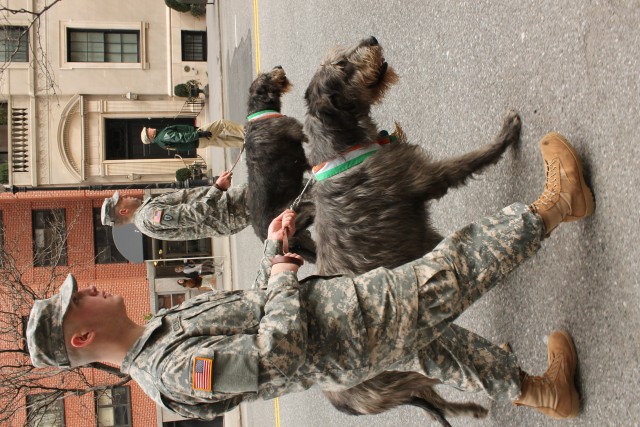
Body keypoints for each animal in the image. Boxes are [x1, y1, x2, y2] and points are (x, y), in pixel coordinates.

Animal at [244, 66, 316, 260]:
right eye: (266, 77)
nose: (279, 67)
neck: (260, 112)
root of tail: (265, 236)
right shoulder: (300, 134)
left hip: (301, 238)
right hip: (302, 214)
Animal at [304, 36, 520, 424]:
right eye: (344, 65)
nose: (372, 38)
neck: (342, 148)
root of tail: (344, 401)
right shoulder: (425, 178)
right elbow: (470, 162)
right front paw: (505, 136)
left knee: (439, 405)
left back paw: (472, 408)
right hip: (407, 372)